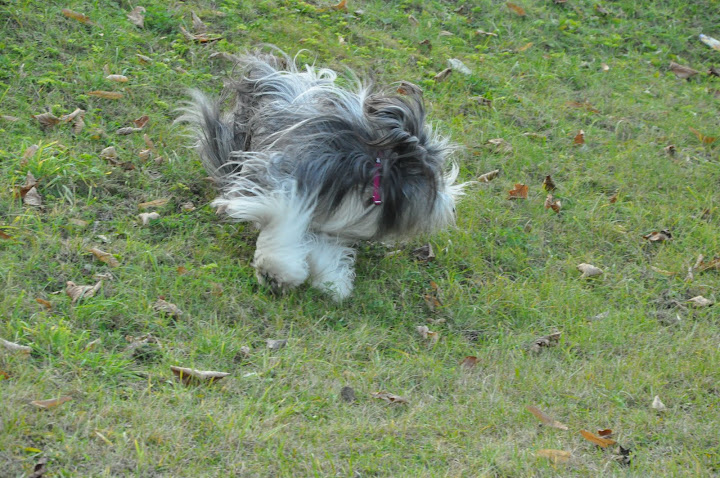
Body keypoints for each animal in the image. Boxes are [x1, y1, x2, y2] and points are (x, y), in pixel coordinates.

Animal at [181, 50, 464, 300]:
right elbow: (285, 222)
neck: (368, 171)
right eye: (434, 176)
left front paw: (332, 282)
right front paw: (277, 272)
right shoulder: (288, 180)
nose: (452, 205)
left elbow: (322, 245)